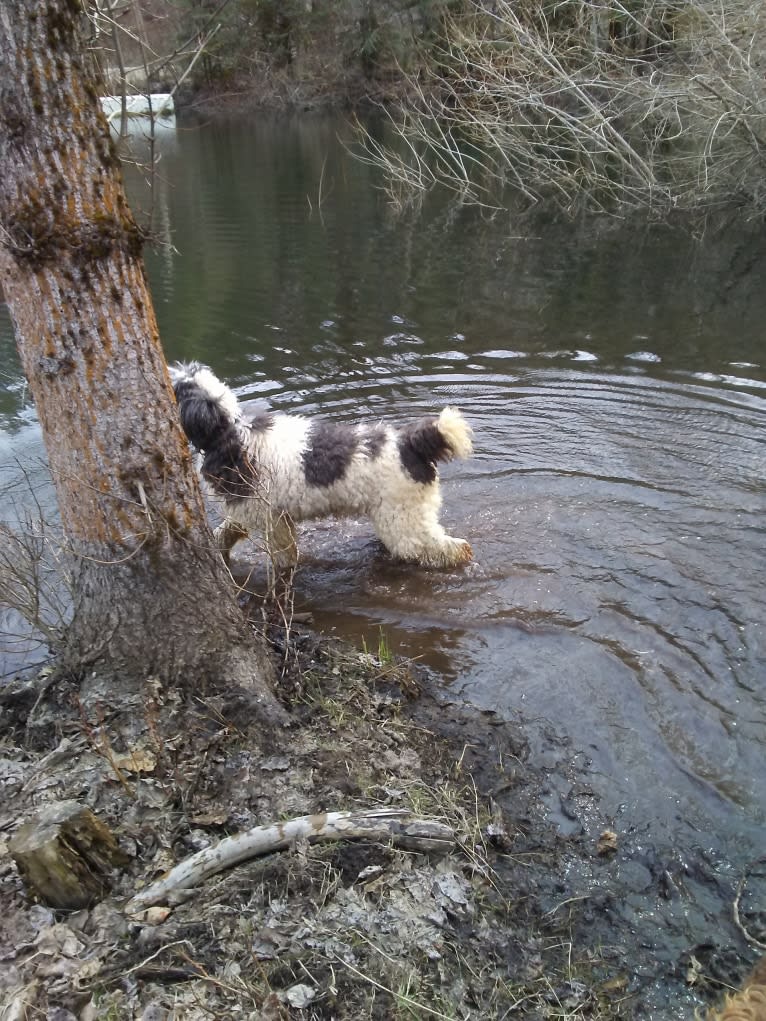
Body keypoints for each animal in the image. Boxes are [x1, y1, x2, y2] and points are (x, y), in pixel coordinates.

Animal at [169, 365, 473, 575]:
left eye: (178, 389)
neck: (228, 432)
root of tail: (410, 442)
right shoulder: (251, 508)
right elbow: (225, 532)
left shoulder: (270, 517)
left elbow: (283, 555)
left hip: (402, 519)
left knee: (444, 548)